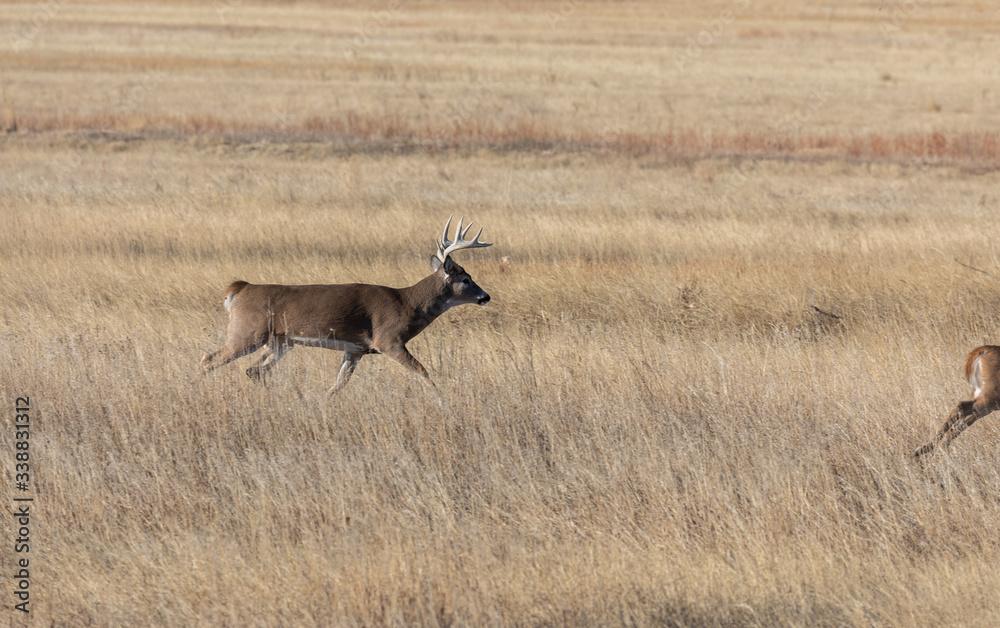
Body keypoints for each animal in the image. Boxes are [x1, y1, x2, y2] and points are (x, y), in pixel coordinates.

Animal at [199, 216, 492, 395]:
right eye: (466, 279)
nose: (485, 296)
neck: (407, 304)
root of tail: (240, 289)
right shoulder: (388, 339)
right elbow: (424, 372)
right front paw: (441, 398)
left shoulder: (355, 350)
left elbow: (338, 385)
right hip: (246, 332)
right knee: (208, 359)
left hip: (280, 342)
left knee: (254, 371)